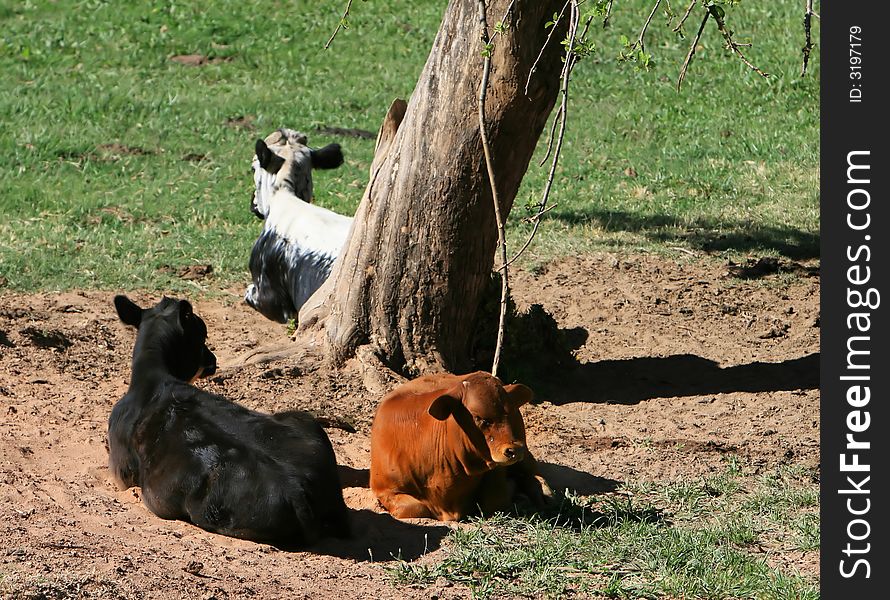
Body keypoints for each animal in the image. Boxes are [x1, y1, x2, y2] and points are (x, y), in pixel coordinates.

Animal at [107, 296, 350, 548]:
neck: (154, 377)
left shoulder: (120, 472)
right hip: (303, 419)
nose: (213, 360)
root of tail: (298, 489)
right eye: (201, 334)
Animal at [368, 370, 548, 520]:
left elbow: (494, 499)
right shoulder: (384, 489)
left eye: (510, 412)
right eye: (478, 417)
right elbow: (416, 508)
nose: (514, 450)